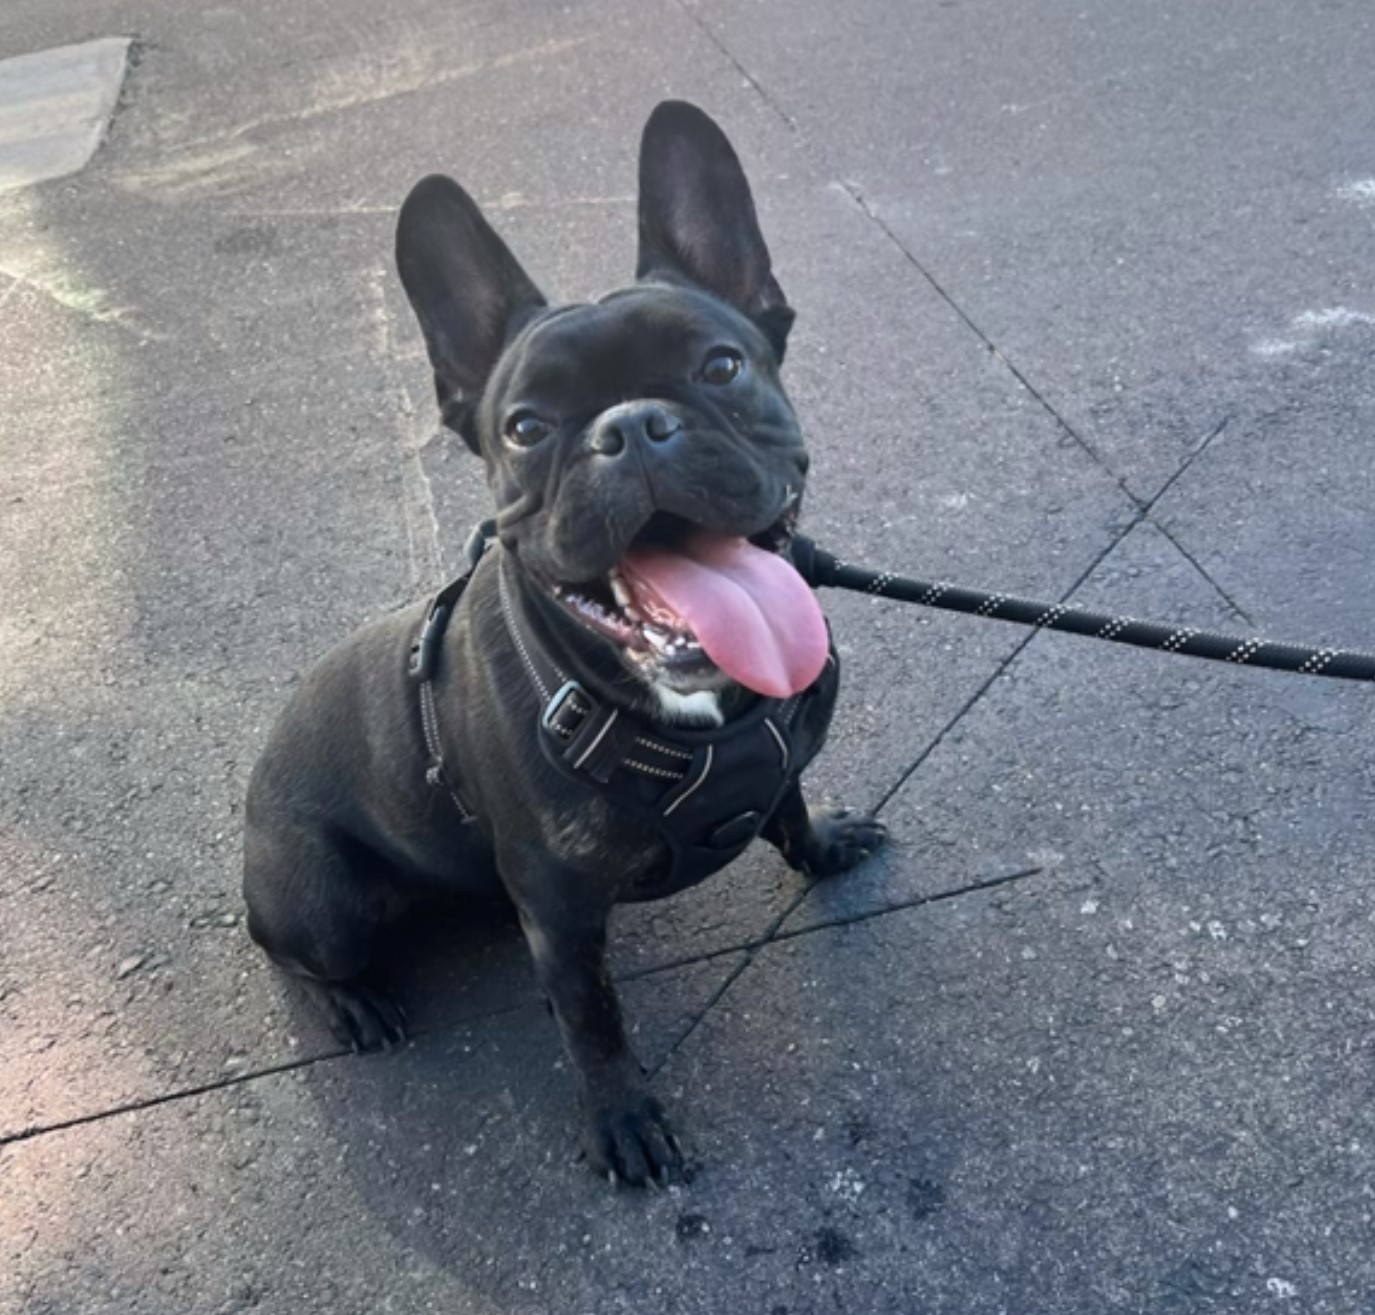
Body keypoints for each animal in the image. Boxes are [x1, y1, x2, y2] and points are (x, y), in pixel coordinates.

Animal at [242, 102, 885, 1188]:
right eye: (525, 426)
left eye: (721, 365)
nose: (631, 426)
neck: (699, 710)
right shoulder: (562, 910)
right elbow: (592, 1021)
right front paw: (622, 1116)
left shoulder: (776, 756)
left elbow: (789, 799)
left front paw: (822, 841)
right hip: (317, 898)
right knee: (298, 953)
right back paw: (354, 1001)